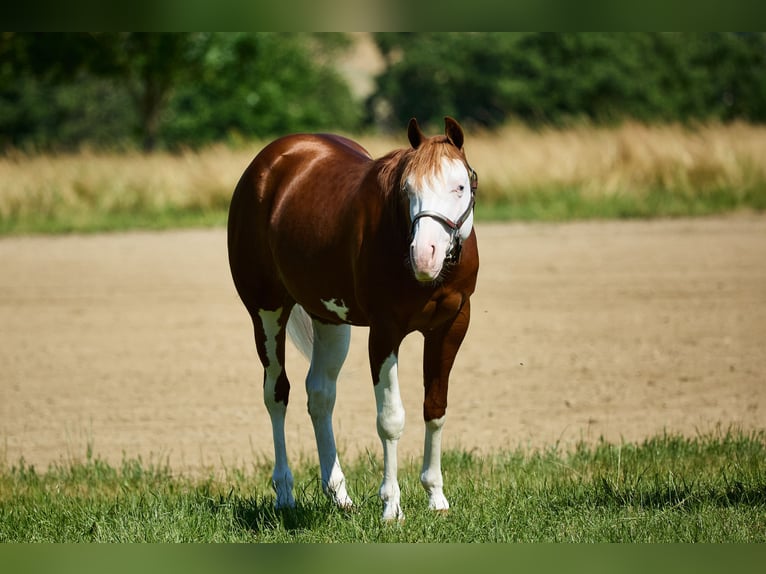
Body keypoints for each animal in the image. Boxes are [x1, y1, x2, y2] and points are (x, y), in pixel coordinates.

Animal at [227, 116, 479, 520]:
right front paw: (391, 506)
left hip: (330, 320)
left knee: (320, 395)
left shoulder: (451, 326)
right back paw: (285, 493)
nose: (424, 256)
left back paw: (339, 494)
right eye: (408, 188)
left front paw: (436, 497)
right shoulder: (385, 332)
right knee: (277, 394)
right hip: (266, 312)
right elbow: (390, 419)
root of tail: (269, 162)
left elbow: (435, 408)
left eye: (459, 186)